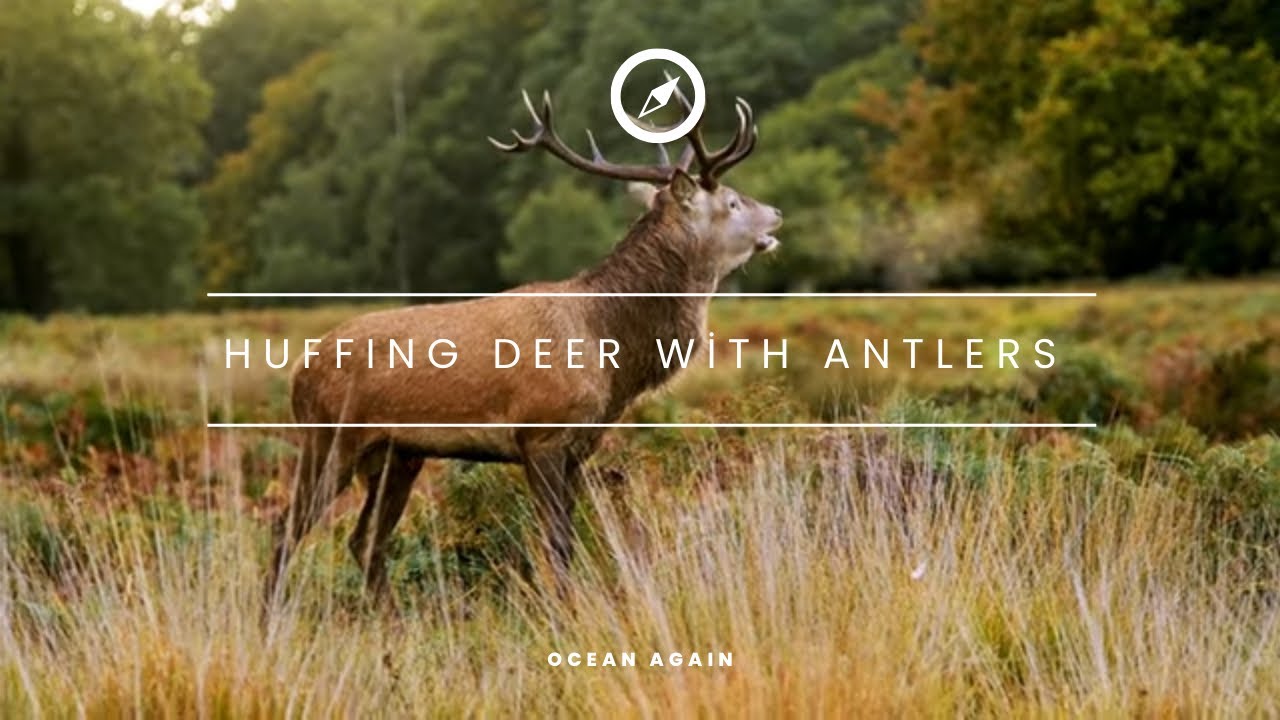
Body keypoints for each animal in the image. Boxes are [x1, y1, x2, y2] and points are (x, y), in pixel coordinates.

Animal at [264, 88, 782, 608]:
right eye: (732, 202)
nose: (777, 213)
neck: (610, 353)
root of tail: (299, 372)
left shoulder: (579, 447)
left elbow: (571, 536)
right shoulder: (541, 432)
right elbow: (558, 542)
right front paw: (567, 612)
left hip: (397, 455)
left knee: (365, 540)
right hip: (329, 437)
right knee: (286, 530)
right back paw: (273, 617)